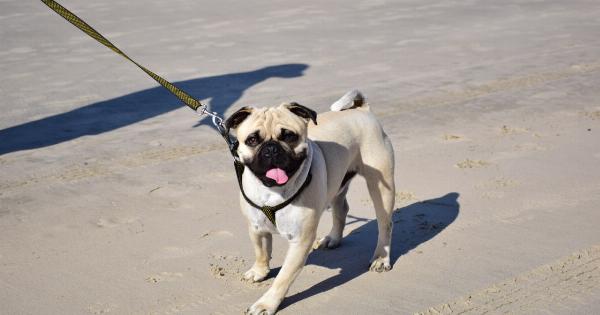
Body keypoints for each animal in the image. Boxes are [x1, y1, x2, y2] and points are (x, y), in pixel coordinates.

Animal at [225, 90, 394, 314]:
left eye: (289, 136)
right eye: (252, 140)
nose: (271, 148)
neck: (272, 190)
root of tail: (362, 110)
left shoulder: (300, 241)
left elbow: (282, 278)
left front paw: (267, 303)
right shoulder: (256, 228)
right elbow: (261, 251)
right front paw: (260, 271)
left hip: (381, 187)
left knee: (385, 223)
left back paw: (381, 258)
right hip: (337, 183)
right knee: (341, 209)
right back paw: (333, 239)